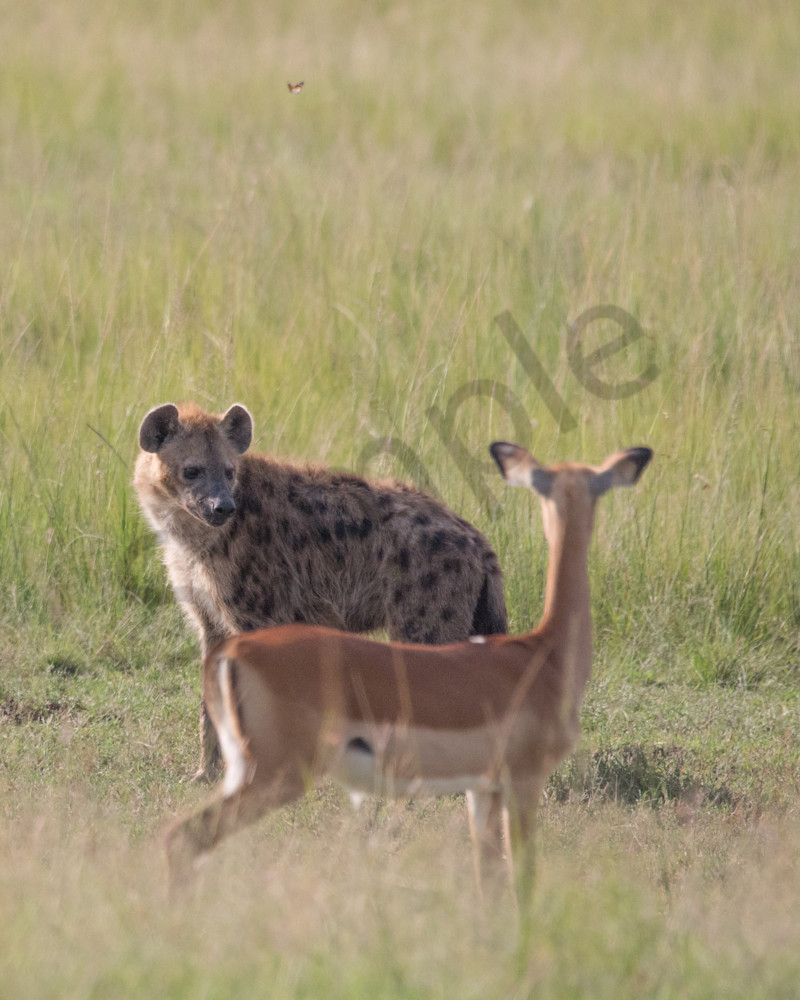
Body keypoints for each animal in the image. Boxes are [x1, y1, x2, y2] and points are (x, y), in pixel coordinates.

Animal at [165, 442, 652, 894]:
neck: (544, 651)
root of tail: (231, 655)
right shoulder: (521, 781)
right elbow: (520, 876)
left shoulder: (486, 787)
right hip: (278, 772)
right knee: (185, 836)